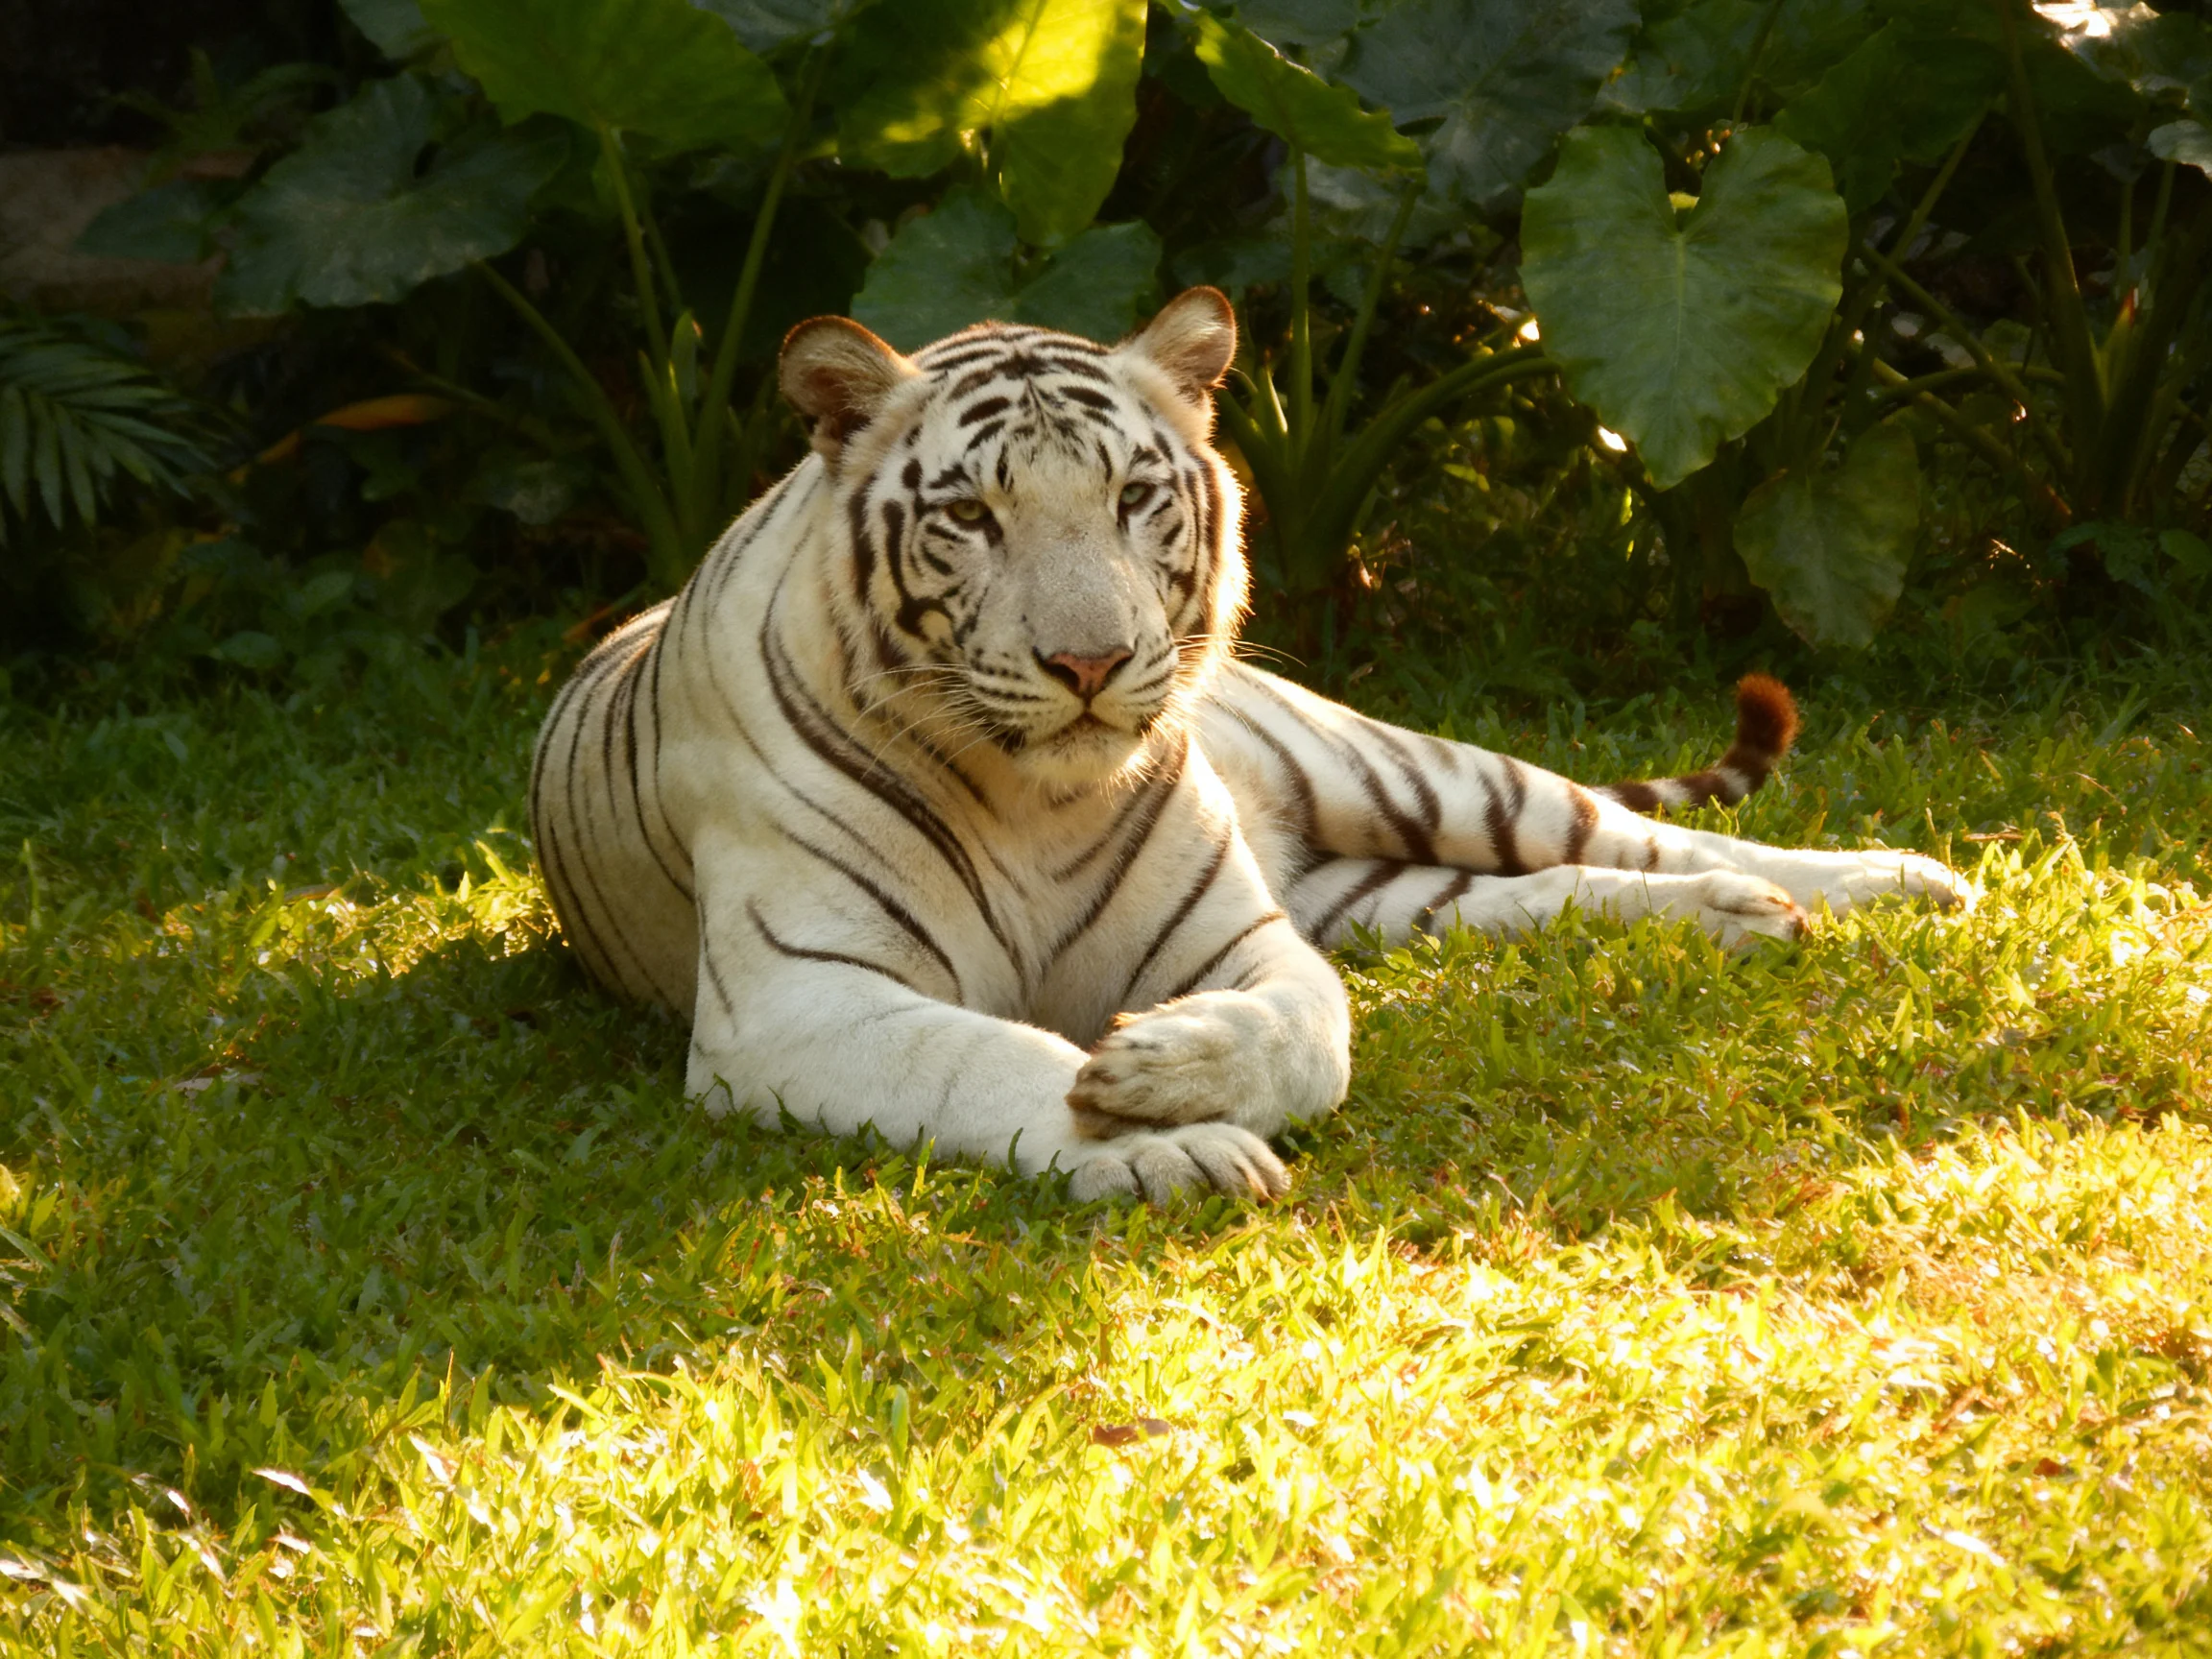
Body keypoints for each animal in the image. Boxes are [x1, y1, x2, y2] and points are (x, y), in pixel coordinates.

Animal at [530, 287, 1970, 1204]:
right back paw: (1743, 917)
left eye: (1131, 496)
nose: (1088, 663)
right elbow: (980, 1055)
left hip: (1412, 776)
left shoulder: (1252, 944)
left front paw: (1162, 1074)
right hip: (1383, 894)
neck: (1032, 804)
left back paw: (1883, 882)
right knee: (1552, 891)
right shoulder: (797, 1001)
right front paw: (1146, 1146)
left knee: (1626, 829)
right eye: (974, 518)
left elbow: (1302, 1036)